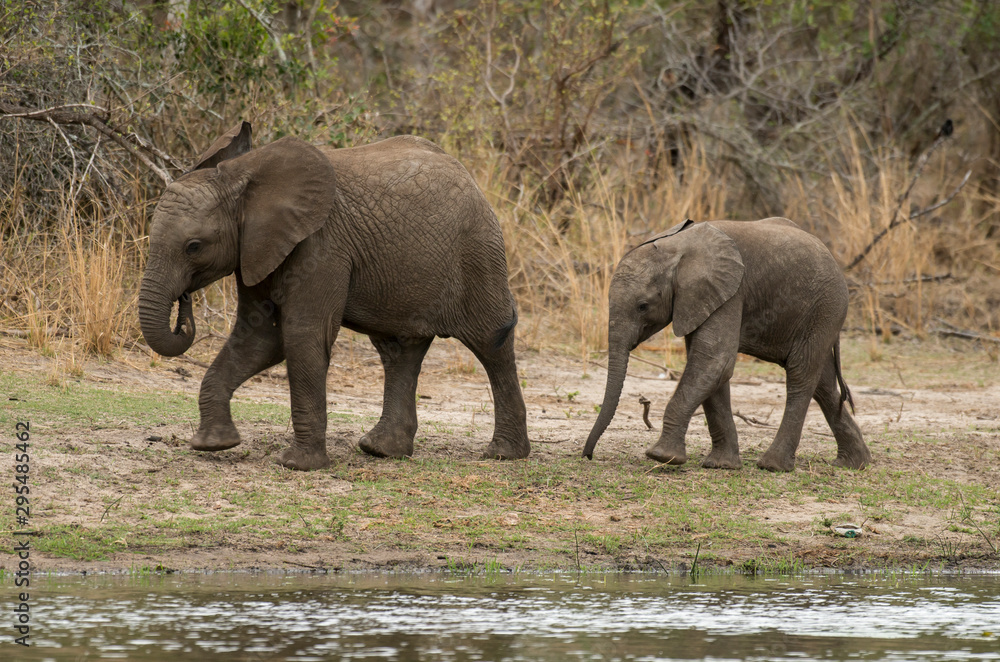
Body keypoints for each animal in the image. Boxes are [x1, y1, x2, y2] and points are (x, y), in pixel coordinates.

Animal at [139, 121, 529, 470]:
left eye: (193, 246)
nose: (183, 309)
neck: (242, 178)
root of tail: (470, 178)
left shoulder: (322, 246)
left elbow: (301, 335)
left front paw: (297, 465)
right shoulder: (256, 249)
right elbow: (258, 339)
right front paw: (213, 444)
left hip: (478, 252)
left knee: (491, 343)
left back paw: (504, 454)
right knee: (399, 351)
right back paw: (381, 451)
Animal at [582, 218, 871, 472]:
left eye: (643, 306)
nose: (588, 455)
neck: (676, 247)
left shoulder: (731, 291)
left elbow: (715, 361)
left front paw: (661, 456)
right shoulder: (700, 299)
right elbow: (711, 369)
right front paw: (721, 465)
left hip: (825, 308)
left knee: (801, 375)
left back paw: (773, 466)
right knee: (823, 384)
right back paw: (853, 464)